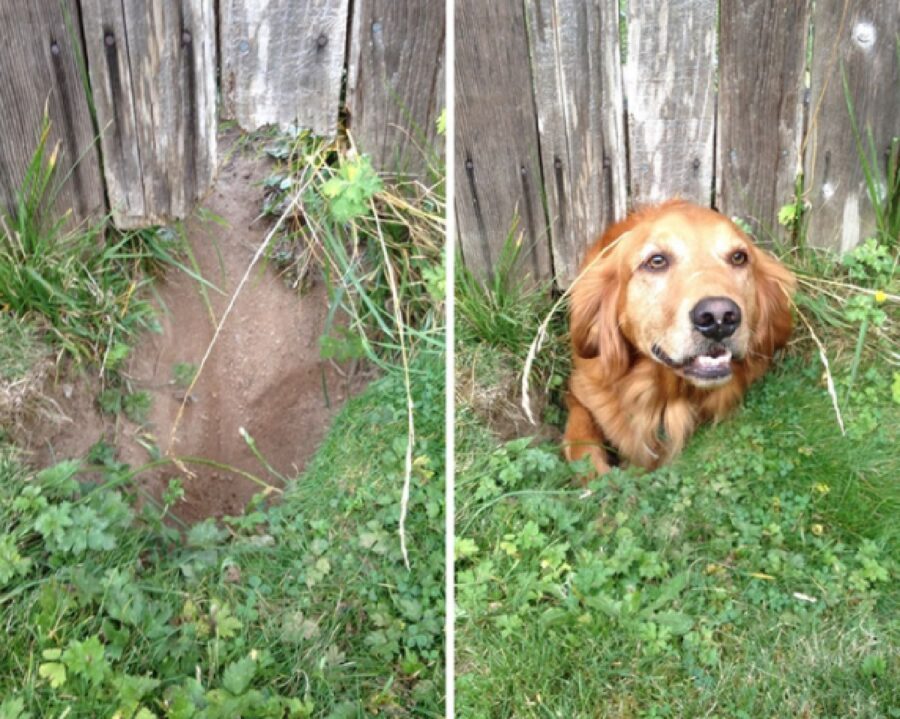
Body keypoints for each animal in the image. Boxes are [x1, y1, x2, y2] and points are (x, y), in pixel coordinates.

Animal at [564, 200, 796, 476]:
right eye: (656, 261)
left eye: (739, 257)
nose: (719, 317)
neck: (665, 395)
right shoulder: (581, 392)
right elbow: (582, 445)